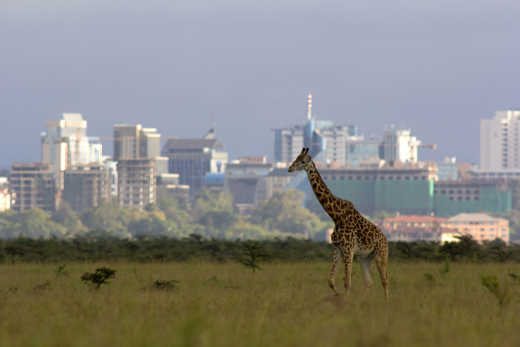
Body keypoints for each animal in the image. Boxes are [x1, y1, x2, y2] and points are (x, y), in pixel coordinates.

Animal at [288, 147, 390, 300]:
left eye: (303, 161)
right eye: (296, 158)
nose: (290, 168)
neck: (335, 216)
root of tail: (386, 240)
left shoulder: (348, 249)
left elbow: (347, 282)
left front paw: (344, 301)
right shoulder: (338, 248)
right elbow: (331, 281)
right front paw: (338, 296)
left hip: (381, 255)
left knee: (384, 280)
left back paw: (386, 301)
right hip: (364, 258)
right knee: (369, 281)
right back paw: (363, 300)